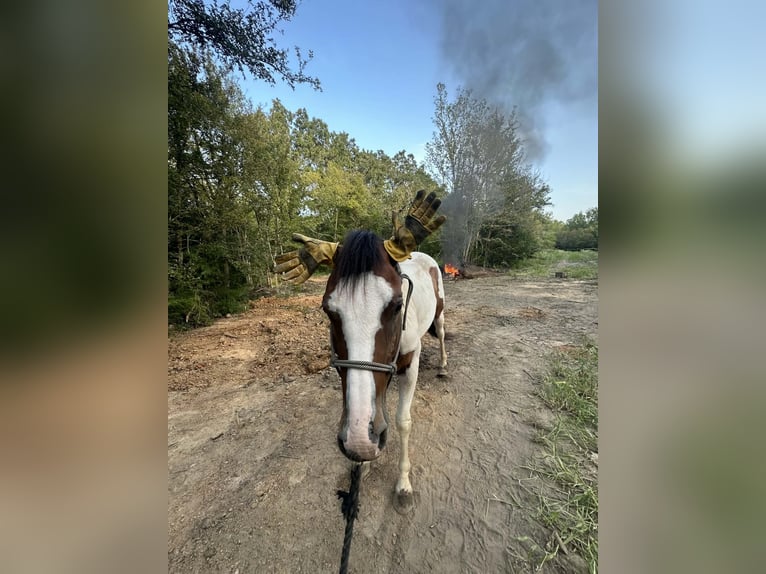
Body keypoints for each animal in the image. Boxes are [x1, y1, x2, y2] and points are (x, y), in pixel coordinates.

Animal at [322, 229, 447, 512]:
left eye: (397, 305)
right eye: (328, 310)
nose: (357, 441)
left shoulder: (410, 367)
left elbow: (402, 422)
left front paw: (403, 485)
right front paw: (365, 462)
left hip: (440, 314)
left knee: (443, 334)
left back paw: (444, 366)